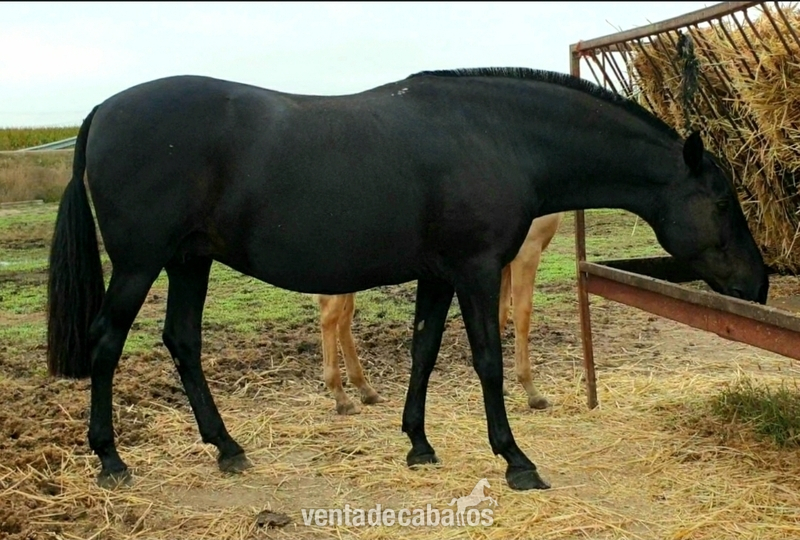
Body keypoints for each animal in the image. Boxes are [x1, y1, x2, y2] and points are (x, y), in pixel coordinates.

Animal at [314, 212, 563, 415]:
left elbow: (499, 317)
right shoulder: (527, 252)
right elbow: (522, 316)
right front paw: (532, 392)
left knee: (343, 319)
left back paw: (366, 390)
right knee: (330, 316)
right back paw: (342, 398)